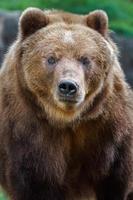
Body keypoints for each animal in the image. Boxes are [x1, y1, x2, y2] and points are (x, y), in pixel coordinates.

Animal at [0, 6, 132, 200]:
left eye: (85, 59)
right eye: (51, 58)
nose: (68, 86)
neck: (66, 118)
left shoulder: (109, 134)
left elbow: (115, 180)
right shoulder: (26, 135)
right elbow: (35, 182)